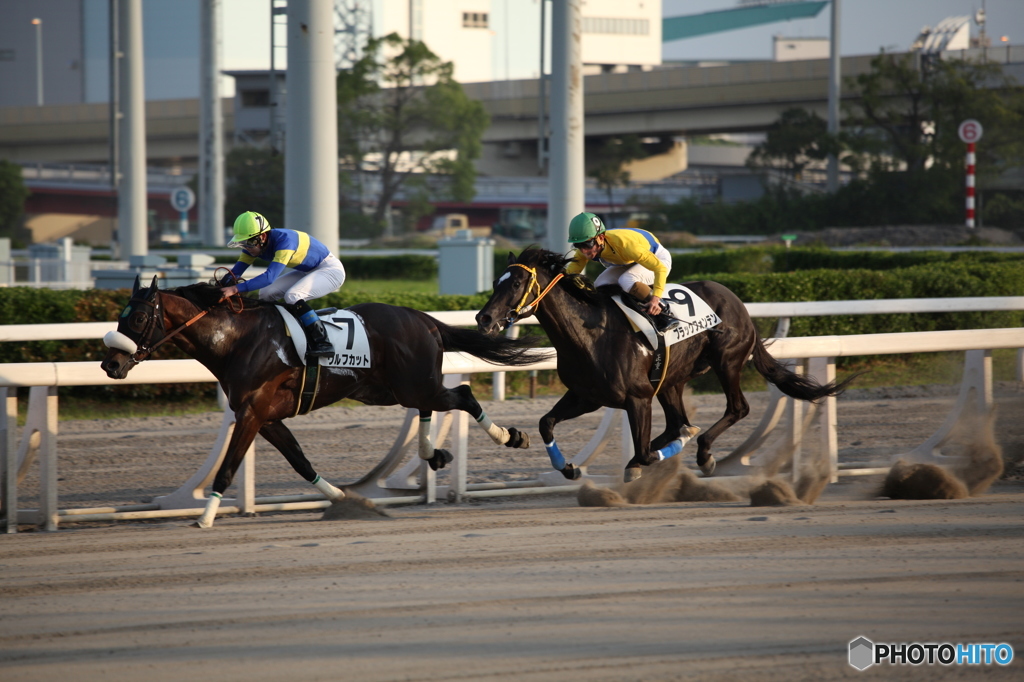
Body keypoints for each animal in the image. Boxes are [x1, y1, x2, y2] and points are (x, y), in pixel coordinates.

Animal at [98, 276, 540, 524]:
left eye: (139, 318)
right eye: (119, 316)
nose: (110, 364)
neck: (236, 339)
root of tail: (425, 319)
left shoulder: (252, 413)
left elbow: (226, 468)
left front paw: (204, 518)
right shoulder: (265, 417)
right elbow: (300, 461)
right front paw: (346, 499)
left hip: (412, 384)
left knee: (461, 394)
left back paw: (510, 436)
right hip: (388, 389)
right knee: (431, 405)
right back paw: (433, 453)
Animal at [475, 246, 851, 481]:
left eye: (518, 282)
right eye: (494, 282)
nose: (484, 319)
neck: (589, 334)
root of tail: (737, 302)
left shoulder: (637, 398)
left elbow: (643, 453)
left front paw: (646, 461)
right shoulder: (587, 396)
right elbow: (545, 423)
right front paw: (569, 468)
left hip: (727, 360)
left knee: (736, 409)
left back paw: (704, 453)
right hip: (672, 379)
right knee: (675, 423)